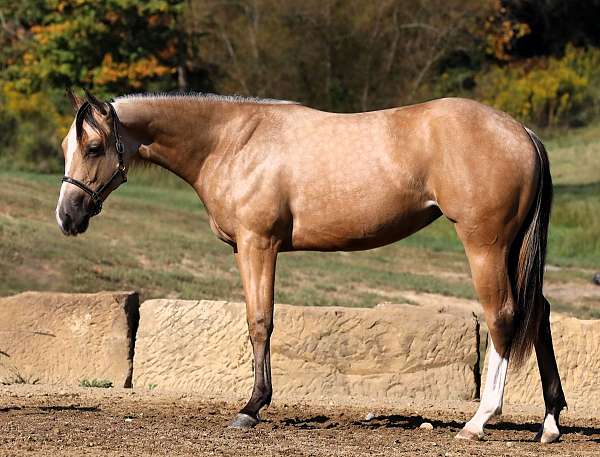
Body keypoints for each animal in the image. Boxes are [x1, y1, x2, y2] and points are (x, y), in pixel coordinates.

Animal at [54, 90, 564, 442]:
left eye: (94, 147)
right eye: (67, 147)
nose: (67, 216)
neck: (232, 141)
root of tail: (523, 133)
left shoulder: (258, 245)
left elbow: (259, 322)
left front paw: (251, 407)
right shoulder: (248, 249)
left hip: (486, 246)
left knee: (503, 316)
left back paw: (479, 421)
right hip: (513, 250)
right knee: (538, 314)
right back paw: (550, 423)